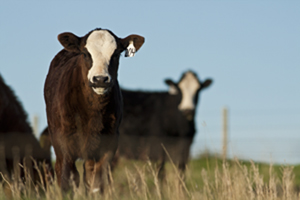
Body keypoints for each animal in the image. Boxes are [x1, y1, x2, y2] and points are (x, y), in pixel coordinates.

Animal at [43, 27, 144, 192]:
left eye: (116, 54)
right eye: (85, 53)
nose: (100, 79)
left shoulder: (109, 143)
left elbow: (97, 182)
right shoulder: (64, 142)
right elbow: (67, 179)